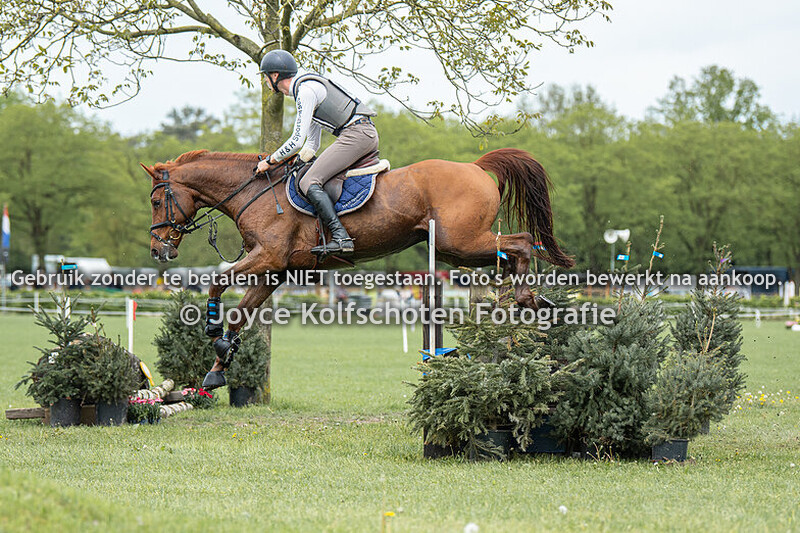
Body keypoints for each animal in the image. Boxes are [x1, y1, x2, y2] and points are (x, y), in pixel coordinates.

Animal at [143, 148, 574, 388]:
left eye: (156, 202)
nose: (157, 250)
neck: (254, 192)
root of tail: (474, 165)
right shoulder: (276, 271)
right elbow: (241, 314)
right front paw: (218, 367)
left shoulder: (267, 259)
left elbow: (217, 284)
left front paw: (212, 331)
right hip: (460, 249)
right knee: (512, 253)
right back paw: (526, 305)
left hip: (460, 242)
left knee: (522, 243)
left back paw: (528, 301)